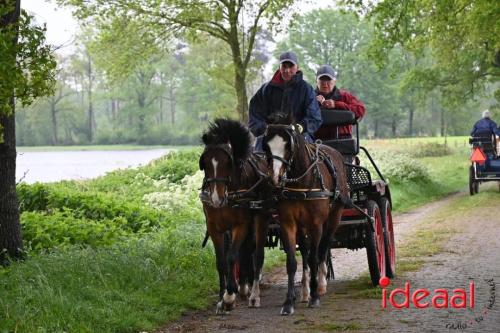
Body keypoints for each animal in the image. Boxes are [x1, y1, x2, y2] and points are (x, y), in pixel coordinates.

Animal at [199, 118, 272, 312]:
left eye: (227, 162)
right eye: (205, 163)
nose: (216, 199)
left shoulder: (241, 225)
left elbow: (232, 256)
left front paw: (230, 295)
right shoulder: (214, 227)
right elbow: (221, 261)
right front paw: (221, 298)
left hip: (260, 218)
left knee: (257, 254)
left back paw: (253, 295)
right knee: (245, 251)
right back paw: (244, 286)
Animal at [264, 116, 350, 314]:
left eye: (288, 145)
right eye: (267, 146)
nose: (275, 178)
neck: (302, 183)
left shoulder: (316, 224)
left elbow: (314, 257)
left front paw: (315, 296)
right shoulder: (287, 223)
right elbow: (292, 261)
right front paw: (289, 302)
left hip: (334, 216)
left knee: (324, 246)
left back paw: (321, 284)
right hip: (302, 226)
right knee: (305, 250)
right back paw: (304, 290)